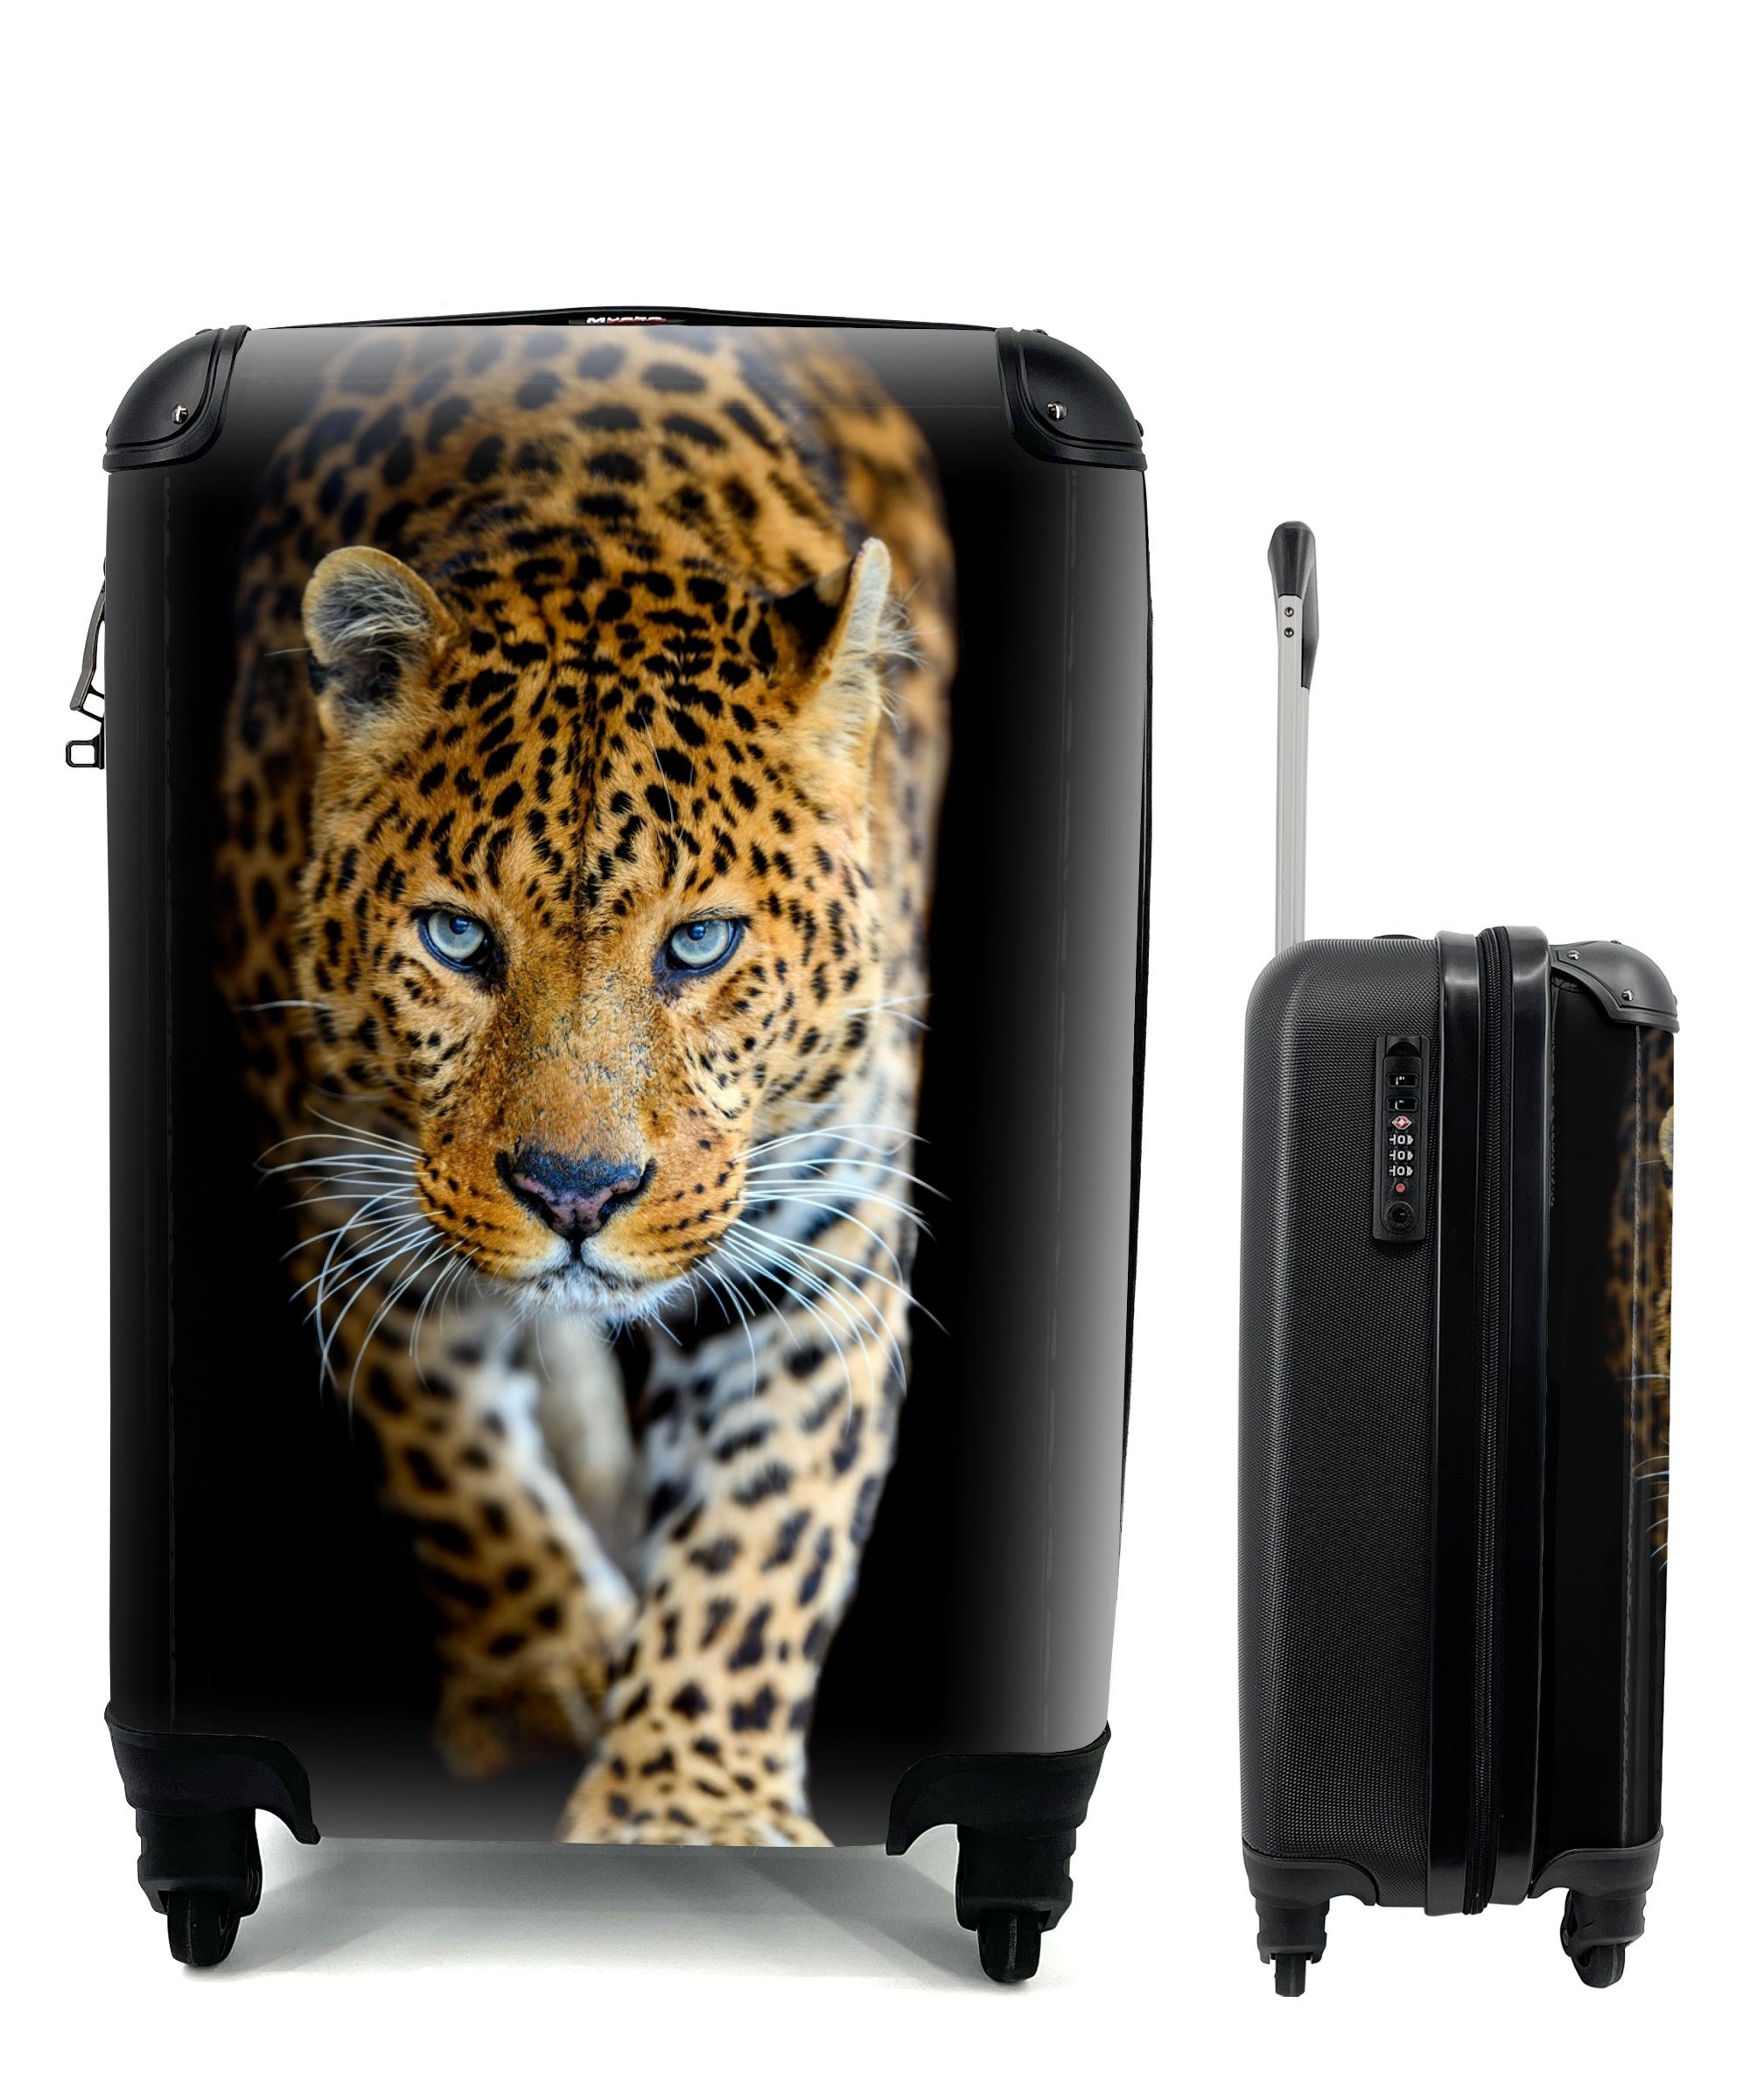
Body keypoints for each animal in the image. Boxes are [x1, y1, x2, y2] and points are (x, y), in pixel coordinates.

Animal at [213, 320, 954, 1844]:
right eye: (457, 940)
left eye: (700, 944)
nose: (574, 1194)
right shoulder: (344, 1188)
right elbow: (444, 1450)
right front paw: (543, 1666)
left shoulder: (829, 1236)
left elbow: (764, 1537)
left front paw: (689, 1806)